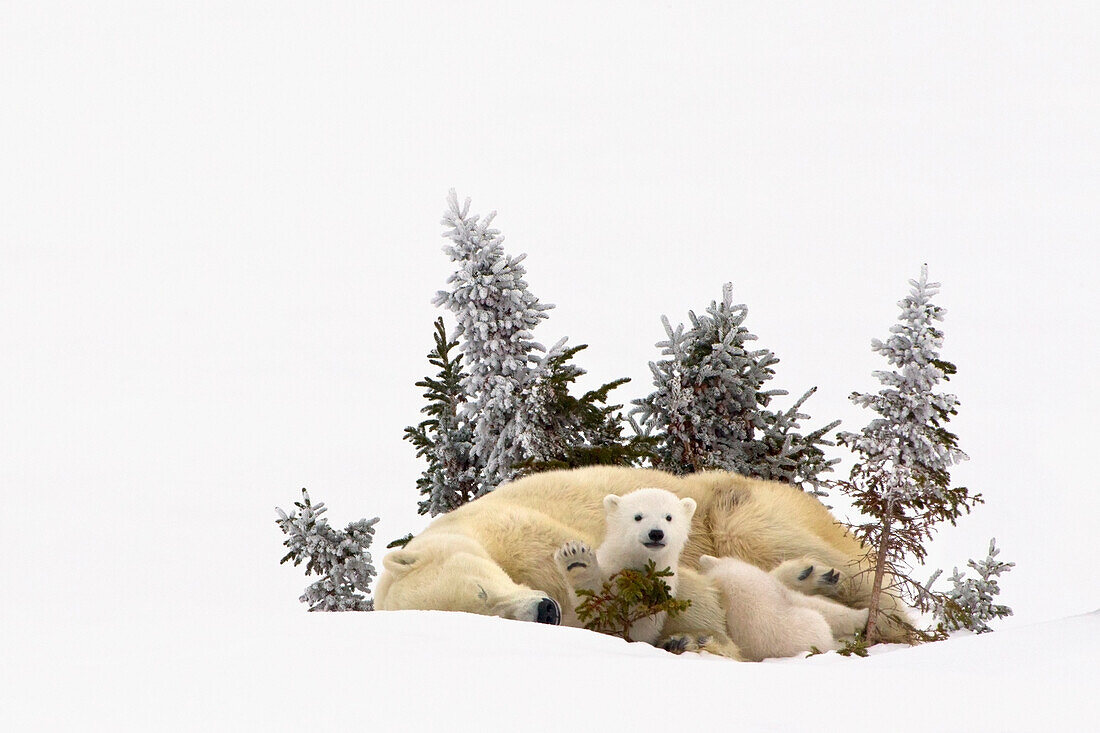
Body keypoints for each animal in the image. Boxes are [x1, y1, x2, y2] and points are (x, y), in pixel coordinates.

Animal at [554, 488, 699, 642]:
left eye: (669, 517)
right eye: (638, 517)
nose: (656, 533)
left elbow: (641, 626)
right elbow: (593, 606)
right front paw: (576, 559)